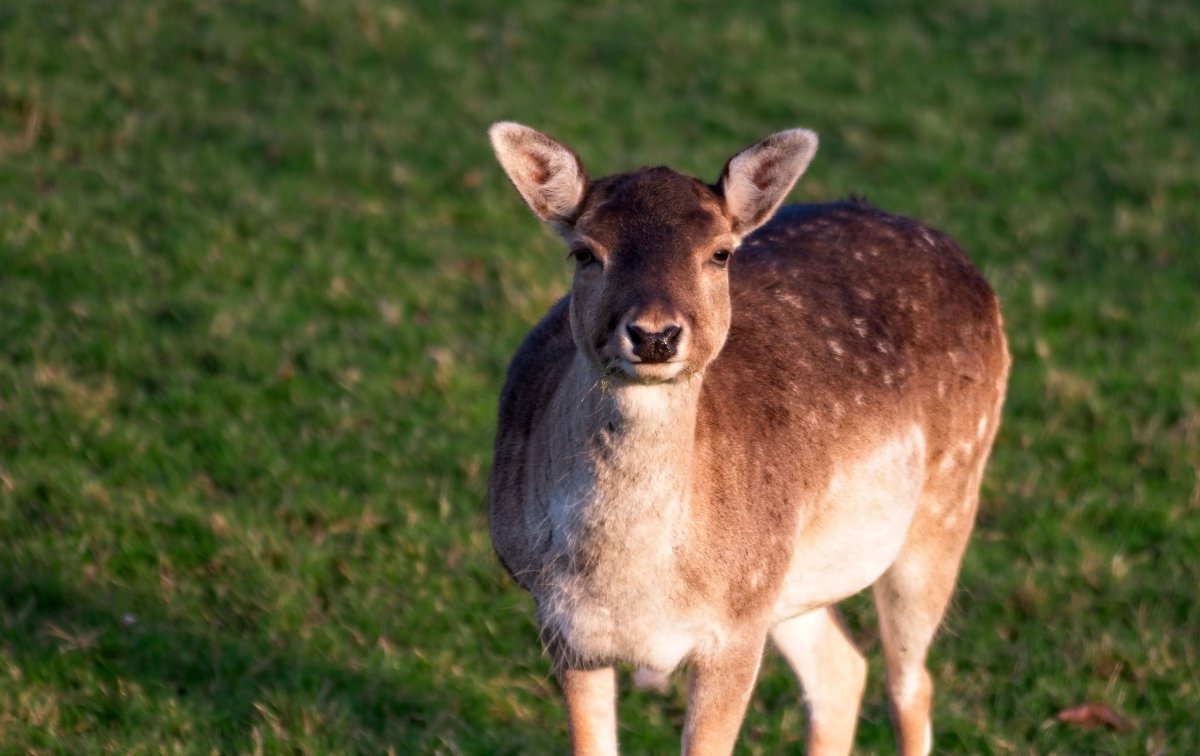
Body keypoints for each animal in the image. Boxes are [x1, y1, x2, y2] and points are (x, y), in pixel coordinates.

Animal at [482, 121, 1008, 753]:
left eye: (720, 252)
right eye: (584, 252)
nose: (654, 335)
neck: (631, 587)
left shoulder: (733, 630)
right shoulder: (565, 627)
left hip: (946, 502)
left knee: (910, 685)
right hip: (785, 581)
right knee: (843, 671)